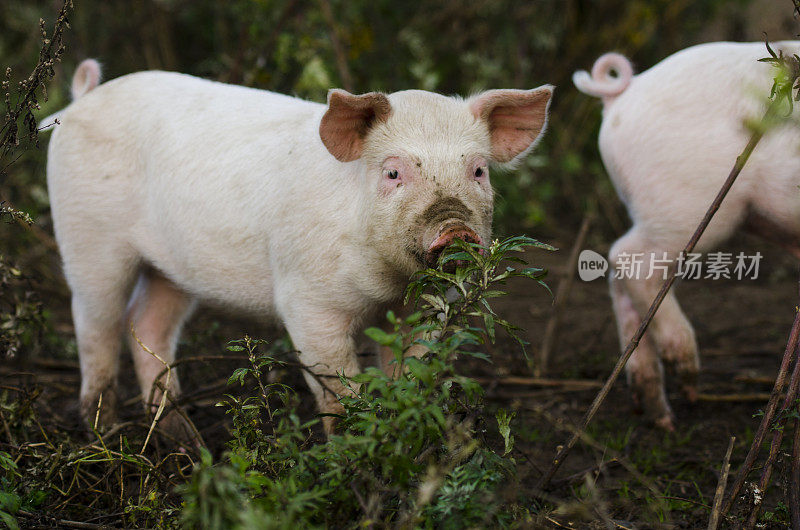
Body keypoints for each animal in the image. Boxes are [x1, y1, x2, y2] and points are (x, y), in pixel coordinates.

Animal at [45, 58, 552, 438]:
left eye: (478, 171)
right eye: (392, 172)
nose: (456, 229)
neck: (386, 284)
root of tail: (83, 97)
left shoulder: (424, 308)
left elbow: (409, 377)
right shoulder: (308, 300)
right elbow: (338, 391)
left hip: (170, 269)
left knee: (147, 324)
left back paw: (184, 438)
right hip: (87, 236)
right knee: (96, 323)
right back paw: (103, 428)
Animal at [576, 42, 800, 428]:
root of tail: (622, 95)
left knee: (618, 272)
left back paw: (656, 412)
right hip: (690, 208)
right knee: (628, 258)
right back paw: (687, 386)